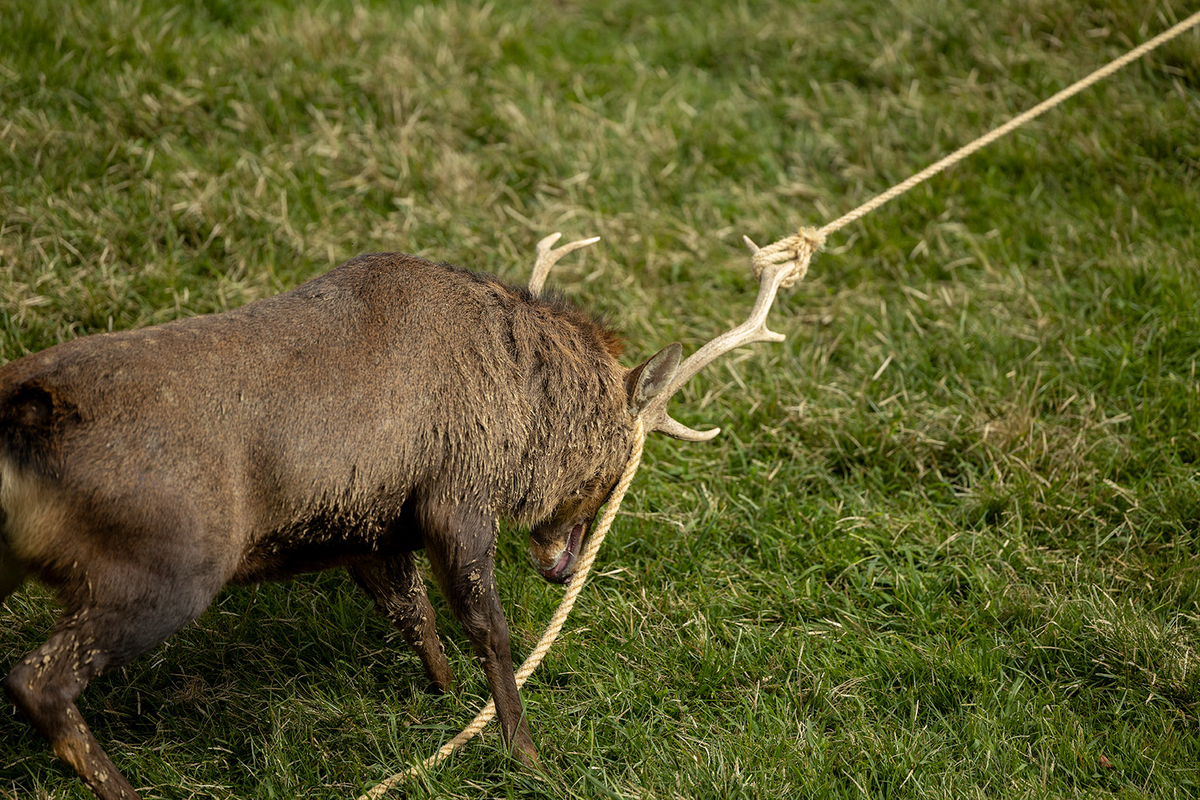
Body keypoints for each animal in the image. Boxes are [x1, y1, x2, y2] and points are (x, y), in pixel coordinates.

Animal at [0, 227, 811, 796]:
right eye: (618, 466)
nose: (562, 568)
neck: (519, 422)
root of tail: (27, 416)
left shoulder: (367, 526)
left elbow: (413, 613)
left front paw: (442, 702)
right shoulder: (458, 496)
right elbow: (489, 629)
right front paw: (528, 755)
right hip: (164, 567)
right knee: (37, 679)